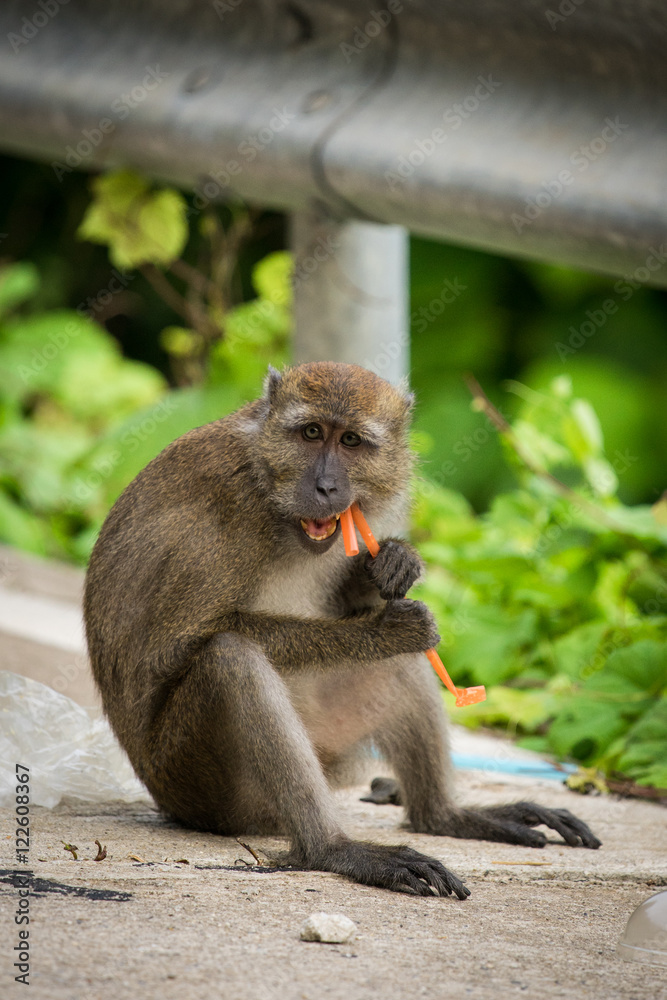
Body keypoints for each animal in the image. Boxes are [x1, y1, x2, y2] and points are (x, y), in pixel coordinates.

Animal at [83, 362, 600, 900]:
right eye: (311, 433)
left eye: (351, 441)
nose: (328, 487)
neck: (268, 486)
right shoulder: (227, 509)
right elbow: (179, 643)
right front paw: (381, 631)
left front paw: (395, 560)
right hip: (197, 783)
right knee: (231, 659)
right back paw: (332, 849)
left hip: (328, 749)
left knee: (395, 671)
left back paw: (445, 817)